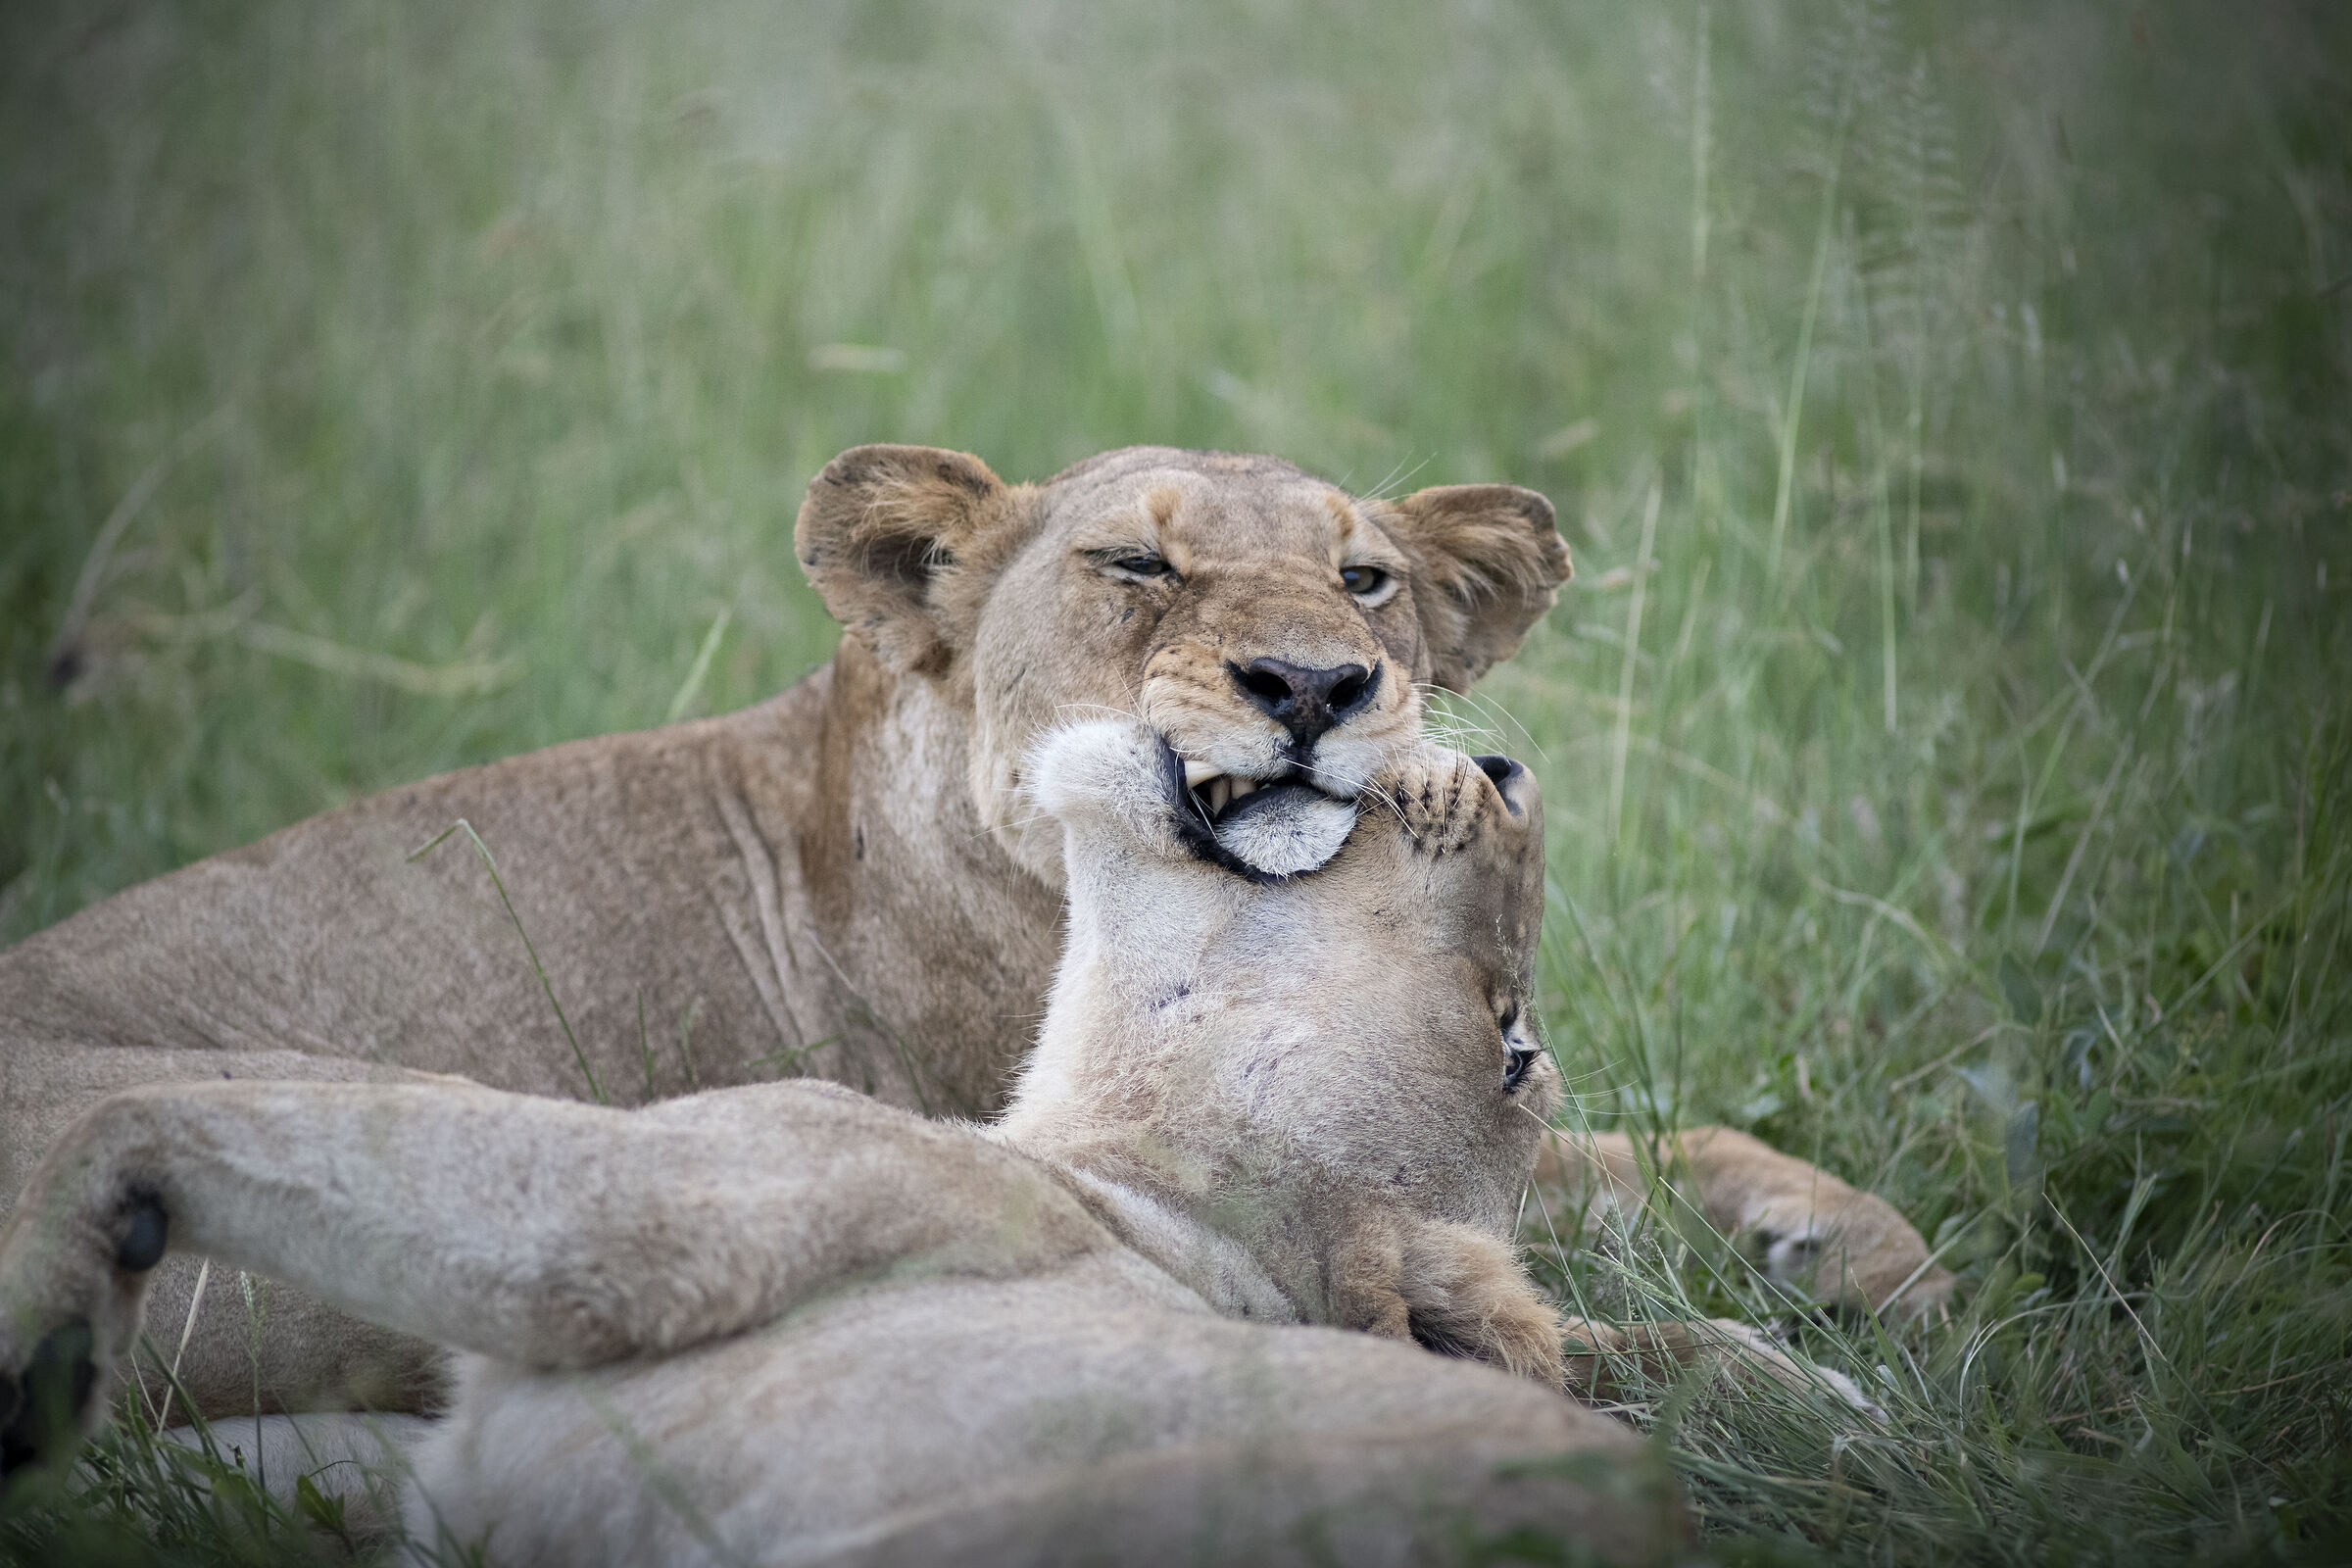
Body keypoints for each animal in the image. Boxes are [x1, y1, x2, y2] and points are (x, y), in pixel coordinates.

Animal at [0, 443, 1949, 1420]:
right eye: (1138, 568)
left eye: (1365, 579)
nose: (1319, 685)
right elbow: (1535, 1250)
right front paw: (1785, 1369)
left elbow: (1657, 1155)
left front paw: (1871, 1259)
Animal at [0, 728, 1765, 1566]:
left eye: (1511, 1041)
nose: (1513, 770)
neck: (1102, 1177)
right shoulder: (403, 1452)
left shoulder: (668, 1205)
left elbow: (179, 1122)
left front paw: (60, 1290)